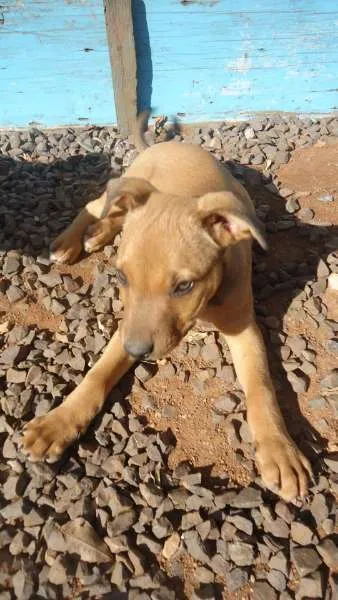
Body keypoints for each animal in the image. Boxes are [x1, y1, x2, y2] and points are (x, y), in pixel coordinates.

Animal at [21, 115, 312, 500]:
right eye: (121, 277)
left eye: (184, 286)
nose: (137, 352)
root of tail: (169, 144)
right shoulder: (129, 325)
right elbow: (98, 373)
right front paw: (57, 423)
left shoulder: (244, 326)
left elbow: (261, 386)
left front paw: (280, 450)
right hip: (124, 187)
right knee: (96, 206)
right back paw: (70, 241)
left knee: (113, 216)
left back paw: (97, 235)